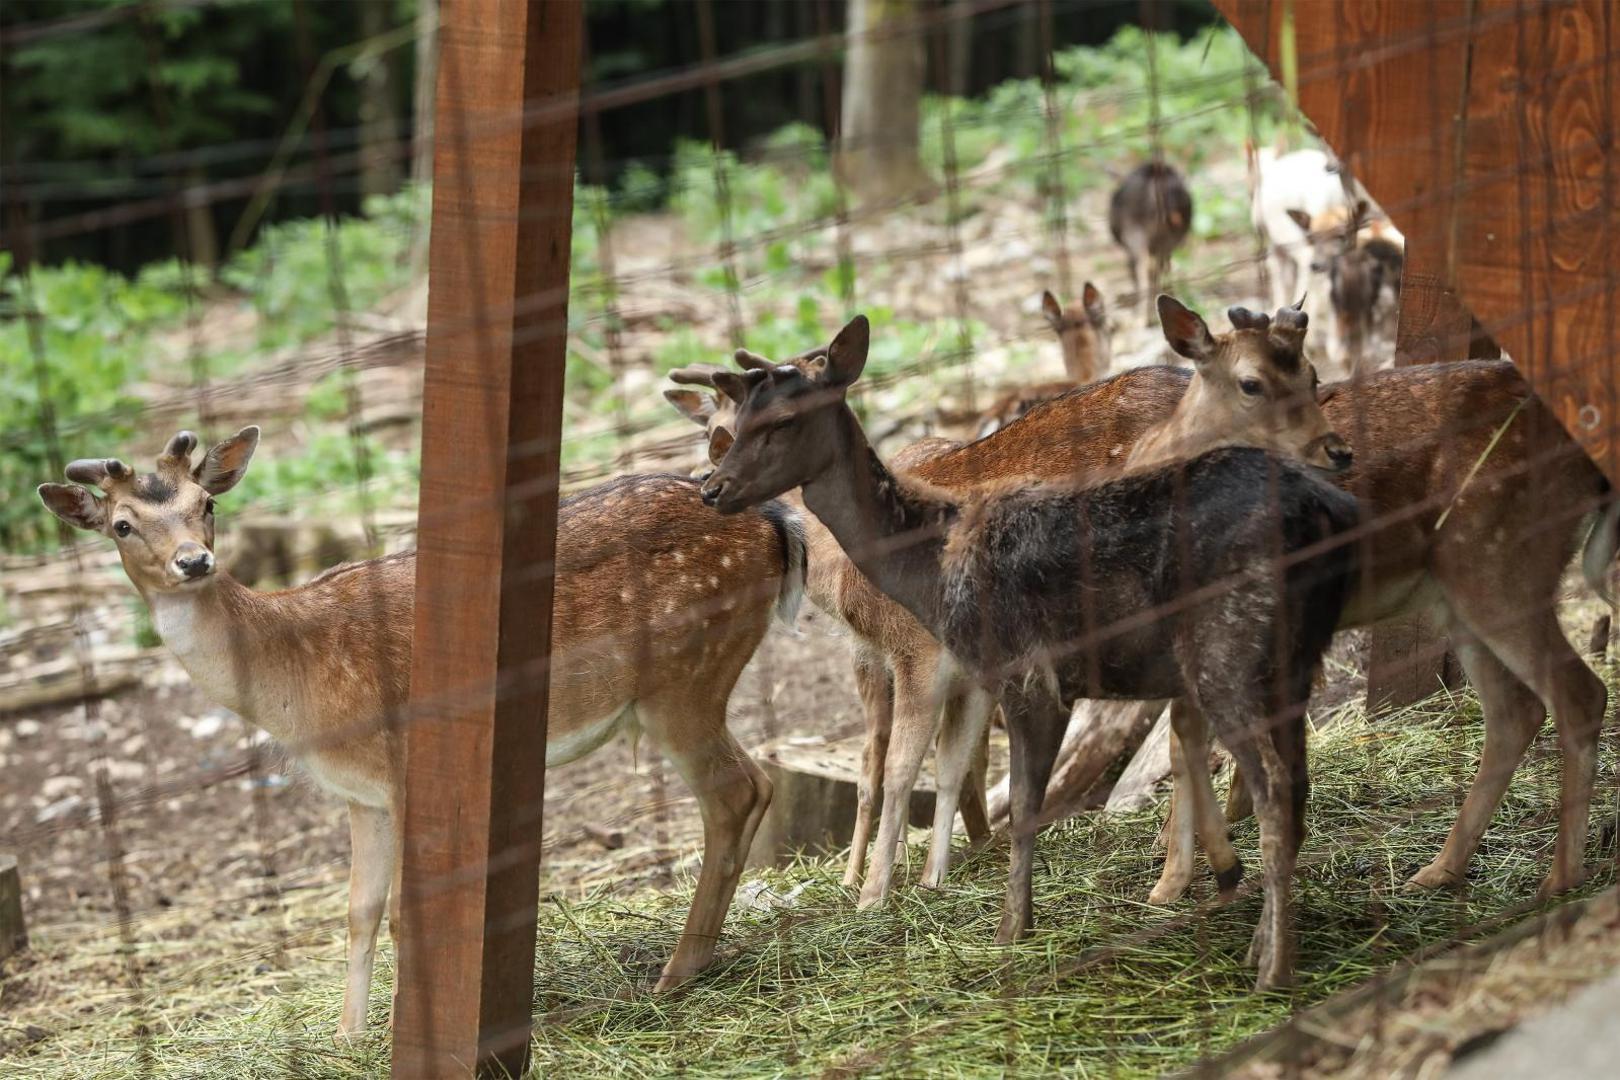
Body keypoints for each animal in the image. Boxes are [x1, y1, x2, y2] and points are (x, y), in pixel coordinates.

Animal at [703, 312, 1360, 990]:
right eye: (738, 419)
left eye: (783, 420)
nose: (711, 487)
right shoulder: (981, 677)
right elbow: (961, 773)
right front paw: (951, 893)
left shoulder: (1009, 672)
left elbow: (988, 794)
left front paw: (976, 923)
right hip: (1285, 656)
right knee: (1283, 776)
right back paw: (1247, 923)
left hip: (1226, 652)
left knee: (1265, 782)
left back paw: (1260, 956)